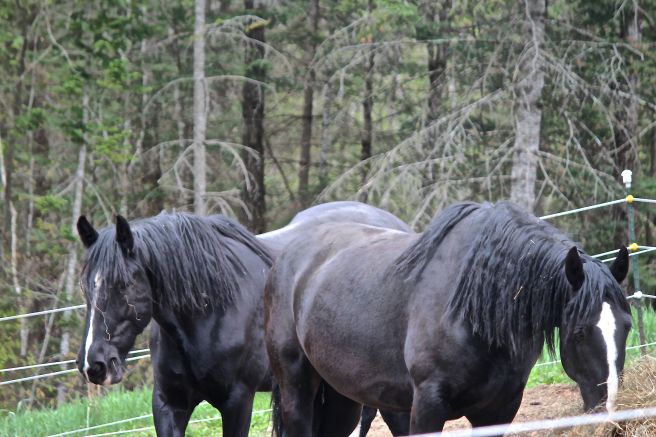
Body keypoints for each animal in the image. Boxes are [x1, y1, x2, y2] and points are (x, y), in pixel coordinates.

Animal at [75, 201, 412, 437]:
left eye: (123, 285)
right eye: (85, 285)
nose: (95, 364)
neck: (209, 311)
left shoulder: (237, 402)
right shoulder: (169, 403)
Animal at [264, 201, 631, 436]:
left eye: (627, 327)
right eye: (580, 333)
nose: (611, 408)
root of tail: (287, 255)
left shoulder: (500, 408)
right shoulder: (429, 404)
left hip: (342, 397)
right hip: (297, 385)